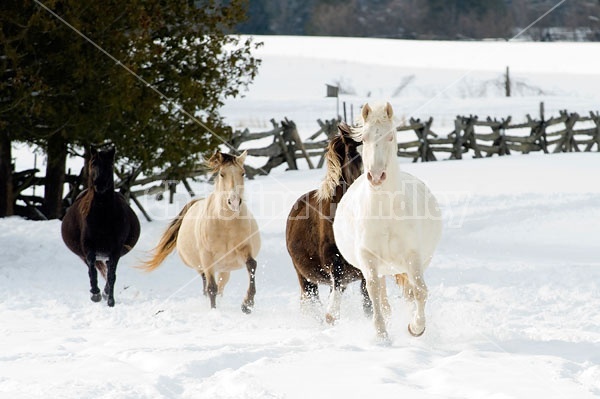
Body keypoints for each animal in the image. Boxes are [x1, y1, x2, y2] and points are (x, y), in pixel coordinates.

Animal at [61, 145, 141, 308]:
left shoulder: (115, 249)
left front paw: (110, 300)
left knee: (109, 269)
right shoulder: (88, 247)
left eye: (110, 165)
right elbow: (92, 270)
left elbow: (111, 276)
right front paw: (95, 294)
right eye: (93, 163)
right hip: (85, 253)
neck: (103, 215)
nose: (100, 184)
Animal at [143, 152, 262, 314]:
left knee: (221, 286)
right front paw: (214, 311)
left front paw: (247, 304)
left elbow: (251, 265)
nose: (234, 202)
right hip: (201, 266)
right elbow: (211, 288)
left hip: (225, 268)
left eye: (242, 173)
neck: (226, 224)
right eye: (222, 174)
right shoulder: (207, 258)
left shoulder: (244, 248)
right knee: (207, 285)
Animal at [286, 123, 370, 324]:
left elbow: (369, 307)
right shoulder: (334, 264)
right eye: (351, 153)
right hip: (305, 277)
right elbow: (332, 312)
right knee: (312, 302)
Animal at [332, 101, 440, 340]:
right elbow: (373, 293)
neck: (385, 213)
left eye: (390, 137)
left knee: (410, 293)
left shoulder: (413, 256)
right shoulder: (368, 258)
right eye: (364, 139)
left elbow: (420, 291)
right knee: (382, 294)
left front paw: (416, 327)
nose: (376, 176)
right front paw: (382, 333)